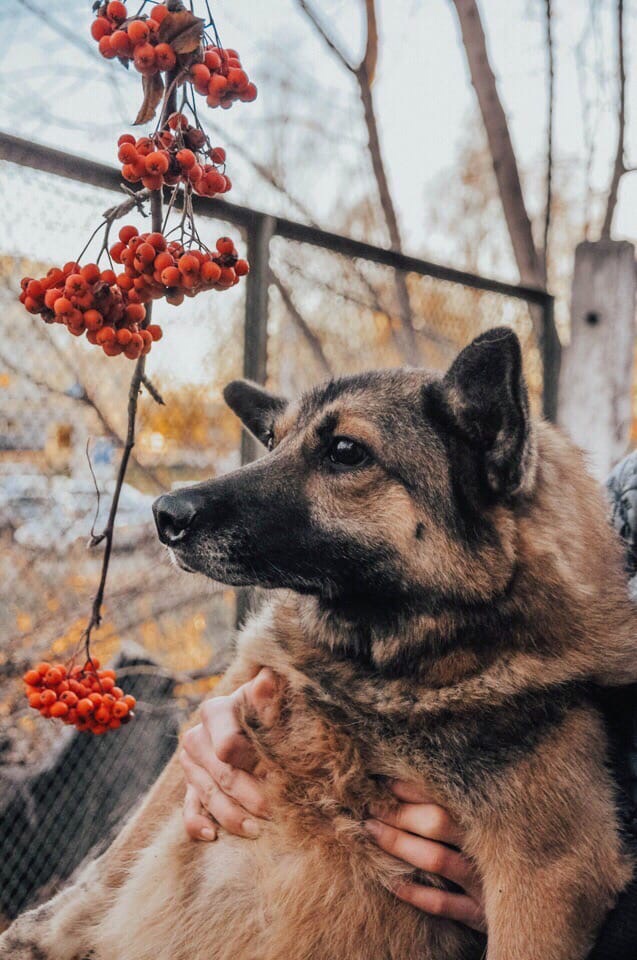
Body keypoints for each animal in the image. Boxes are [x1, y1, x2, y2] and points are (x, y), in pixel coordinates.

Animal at [2, 326, 632, 956]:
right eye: (273, 440)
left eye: (346, 451)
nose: (164, 514)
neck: (378, 674)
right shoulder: (230, 704)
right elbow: (122, 853)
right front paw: (41, 932)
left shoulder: (547, 878)